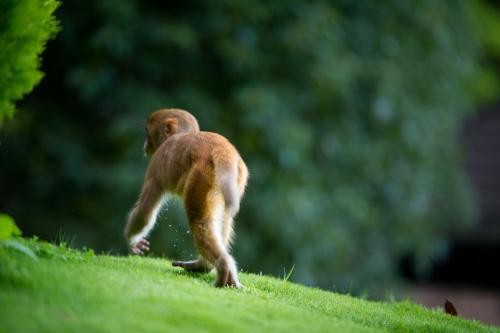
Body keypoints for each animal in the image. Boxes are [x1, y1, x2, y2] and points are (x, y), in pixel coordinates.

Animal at [124, 107, 249, 286]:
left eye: (148, 134)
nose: (145, 145)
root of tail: (221, 149)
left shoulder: (156, 165)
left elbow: (144, 213)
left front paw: (132, 241)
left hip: (201, 177)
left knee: (199, 221)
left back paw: (222, 265)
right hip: (235, 179)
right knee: (224, 218)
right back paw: (203, 266)